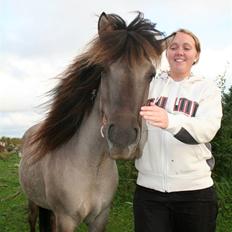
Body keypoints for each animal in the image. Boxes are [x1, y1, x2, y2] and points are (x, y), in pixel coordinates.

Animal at [19, 11, 166, 231]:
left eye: (151, 75)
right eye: (102, 69)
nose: (122, 139)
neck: (93, 167)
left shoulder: (100, 217)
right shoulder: (66, 219)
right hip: (33, 201)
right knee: (31, 219)